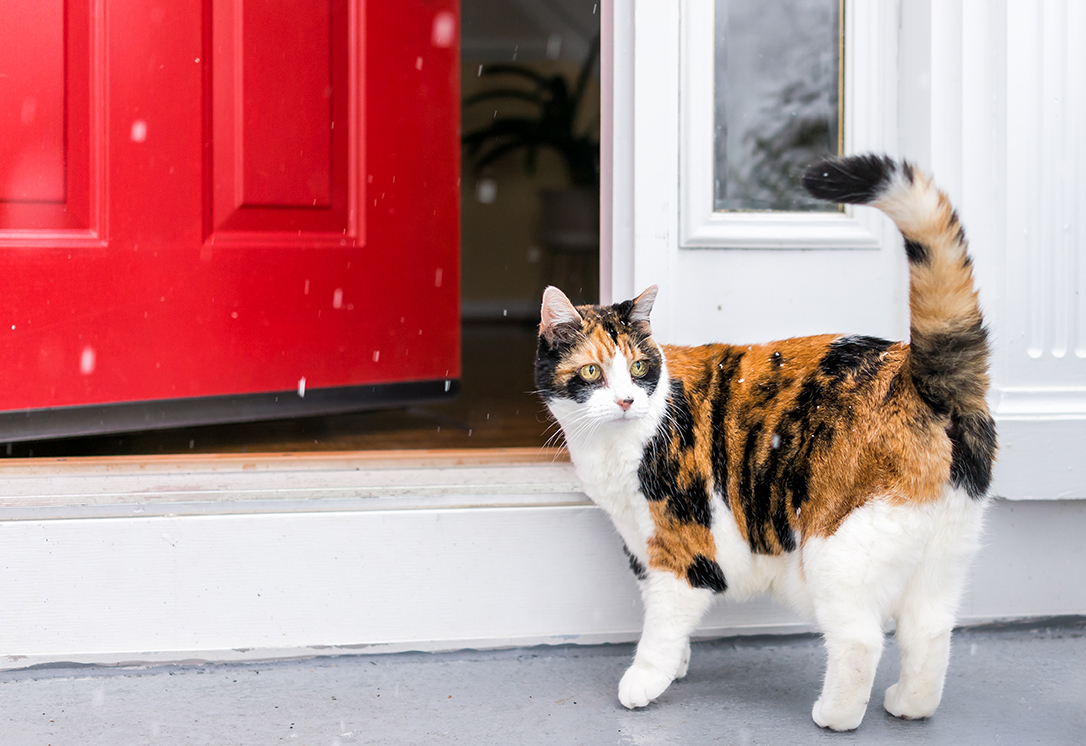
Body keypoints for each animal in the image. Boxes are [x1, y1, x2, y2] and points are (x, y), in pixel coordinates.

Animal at [534, 154, 994, 734]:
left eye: (638, 368)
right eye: (593, 371)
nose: (624, 401)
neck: (614, 446)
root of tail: (916, 375)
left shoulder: (681, 544)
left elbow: (663, 621)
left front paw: (646, 679)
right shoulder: (640, 544)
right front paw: (679, 665)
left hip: (839, 548)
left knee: (861, 638)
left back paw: (834, 716)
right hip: (945, 548)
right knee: (929, 630)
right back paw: (910, 706)